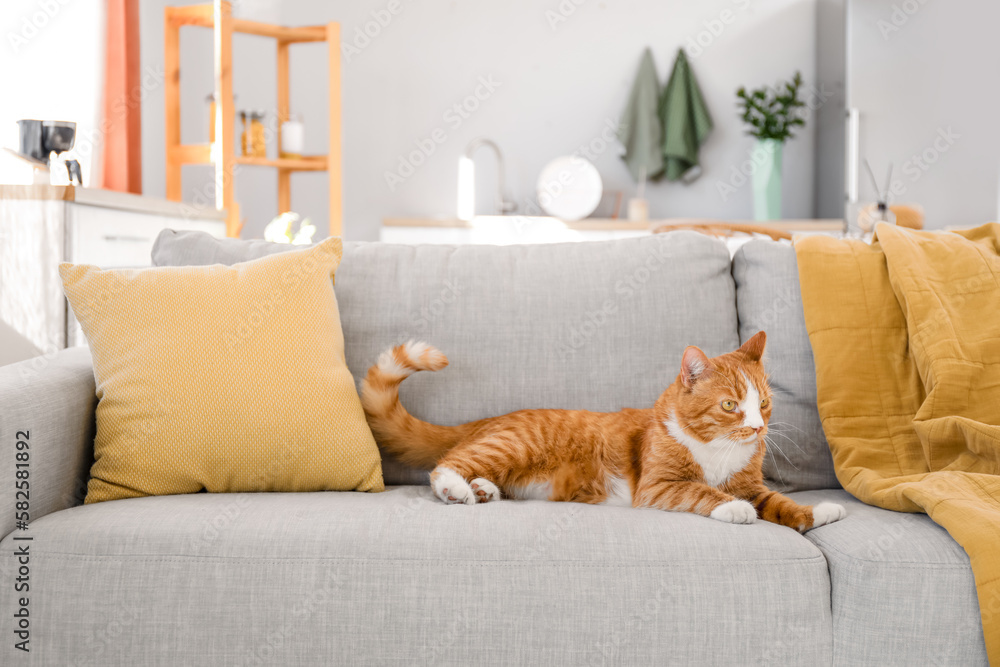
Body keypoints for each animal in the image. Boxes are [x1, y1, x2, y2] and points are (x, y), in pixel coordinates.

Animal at [360, 334, 844, 532]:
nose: (759, 427)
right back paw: (457, 489)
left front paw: (815, 514)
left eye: (763, 403)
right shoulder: (658, 486)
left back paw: (482, 490)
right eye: (730, 406)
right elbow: (702, 492)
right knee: (446, 465)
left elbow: (779, 503)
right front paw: (735, 509)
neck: (718, 450)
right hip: (511, 446)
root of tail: (492, 418)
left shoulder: (752, 484)